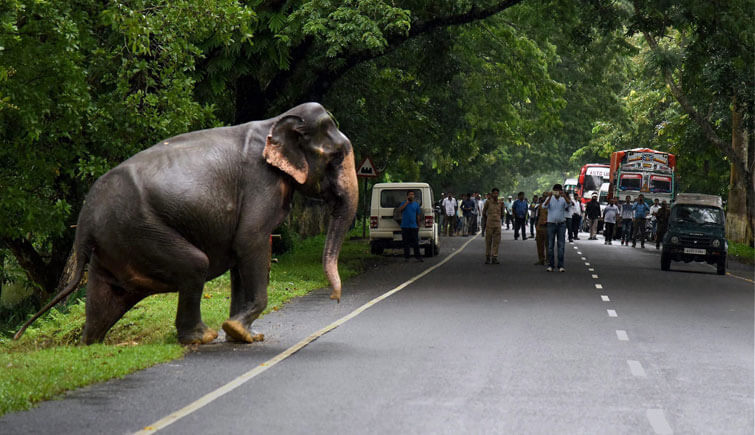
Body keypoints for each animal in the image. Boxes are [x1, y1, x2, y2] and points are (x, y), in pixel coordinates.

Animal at [14, 102, 360, 344]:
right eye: (335, 158)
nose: (335, 298)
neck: (276, 120)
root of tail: (84, 221)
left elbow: (240, 256)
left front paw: (242, 334)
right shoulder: (261, 184)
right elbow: (250, 241)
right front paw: (238, 330)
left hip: (112, 246)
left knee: (105, 299)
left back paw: (90, 343)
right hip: (139, 230)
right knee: (195, 265)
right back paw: (201, 336)